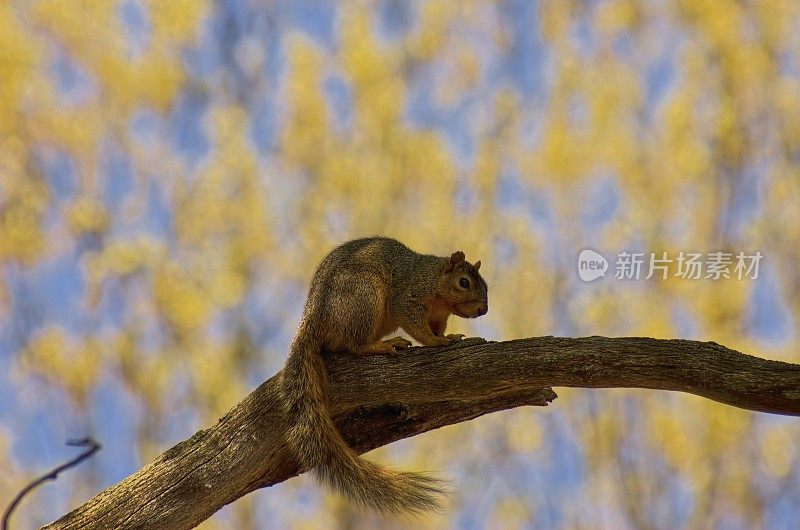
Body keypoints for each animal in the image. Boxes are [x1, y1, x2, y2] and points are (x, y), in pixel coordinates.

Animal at [282, 235, 488, 512]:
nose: (483, 310)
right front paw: (437, 343)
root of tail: (312, 320)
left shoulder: (439, 317)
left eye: (485, 285)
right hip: (363, 297)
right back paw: (383, 345)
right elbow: (419, 329)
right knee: (354, 345)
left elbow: (437, 328)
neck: (432, 278)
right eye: (464, 282)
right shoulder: (407, 299)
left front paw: (450, 336)